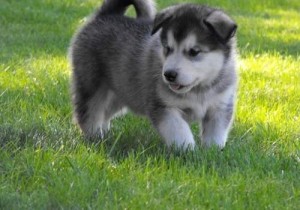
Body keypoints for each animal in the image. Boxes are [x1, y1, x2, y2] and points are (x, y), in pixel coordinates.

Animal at [69, 0, 238, 151]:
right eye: (167, 48)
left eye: (194, 51)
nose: (169, 75)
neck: (198, 90)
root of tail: (107, 14)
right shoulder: (163, 106)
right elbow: (179, 129)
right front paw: (187, 150)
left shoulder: (220, 106)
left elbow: (216, 132)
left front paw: (213, 151)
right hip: (91, 85)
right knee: (89, 111)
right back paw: (94, 136)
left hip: (122, 93)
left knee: (104, 112)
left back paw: (103, 134)